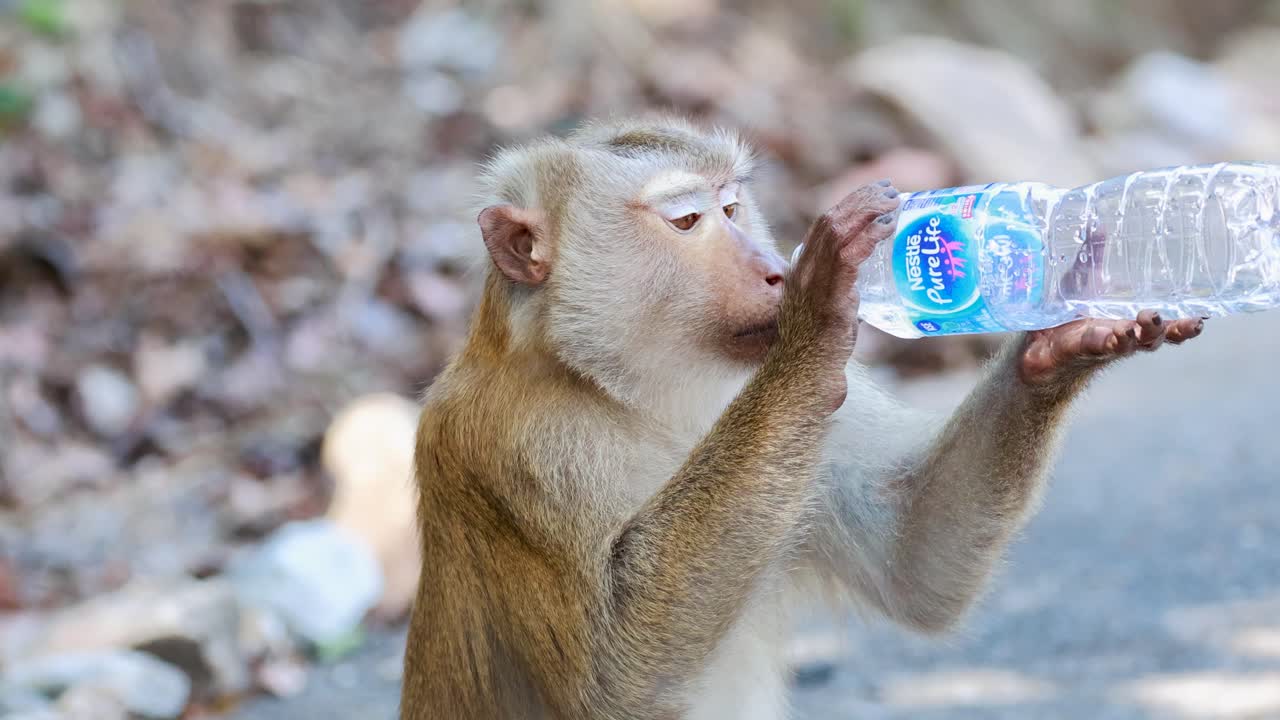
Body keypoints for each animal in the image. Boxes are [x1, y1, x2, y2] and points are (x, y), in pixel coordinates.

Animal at [400, 116, 1205, 720]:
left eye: (731, 208)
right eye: (686, 220)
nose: (773, 270)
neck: (629, 390)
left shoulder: (822, 418)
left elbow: (914, 563)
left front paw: (1059, 338)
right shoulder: (513, 450)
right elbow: (614, 675)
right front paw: (818, 309)